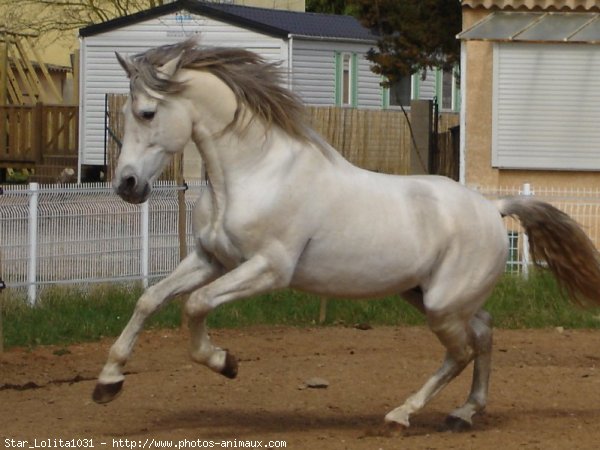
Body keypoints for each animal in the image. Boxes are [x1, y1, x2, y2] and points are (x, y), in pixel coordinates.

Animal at [92, 40, 600, 430]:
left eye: (147, 112)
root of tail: (494, 210)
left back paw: (401, 415)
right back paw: (463, 413)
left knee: (461, 351)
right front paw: (108, 382)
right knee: (485, 332)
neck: (256, 172)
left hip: (441, 304)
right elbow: (150, 300)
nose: (127, 185)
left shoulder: (268, 269)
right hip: (429, 295)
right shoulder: (210, 259)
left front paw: (224, 362)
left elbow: (194, 305)